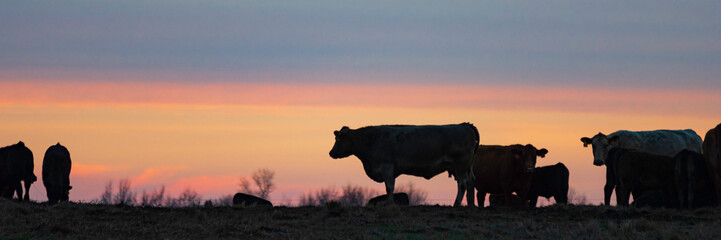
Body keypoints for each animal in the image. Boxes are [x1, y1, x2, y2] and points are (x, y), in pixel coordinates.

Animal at [330, 123, 478, 207]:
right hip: (465, 168)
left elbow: (389, 188)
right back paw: (470, 205)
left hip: (461, 166)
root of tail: (464, 125)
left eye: (338, 139)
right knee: (470, 183)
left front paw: (389, 203)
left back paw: (456, 204)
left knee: (462, 184)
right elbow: (389, 188)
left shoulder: (387, 168)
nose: (331, 153)